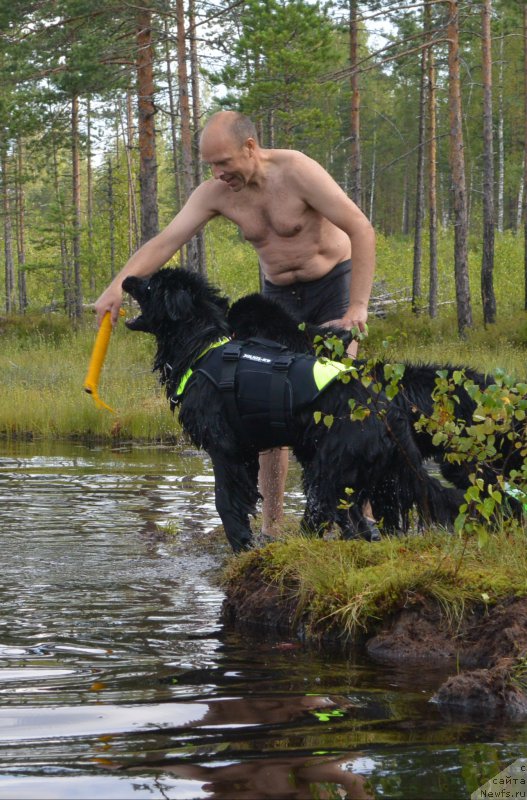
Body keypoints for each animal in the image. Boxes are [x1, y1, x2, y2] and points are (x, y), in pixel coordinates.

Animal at [126, 268, 464, 552]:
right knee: (361, 522)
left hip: (327, 469)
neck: (202, 345)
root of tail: (388, 410)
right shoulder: (247, 451)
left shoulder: (225, 449)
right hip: (372, 477)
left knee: (325, 514)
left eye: (150, 284)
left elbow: (226, 502)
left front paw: (242, 546)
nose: (126, 278)